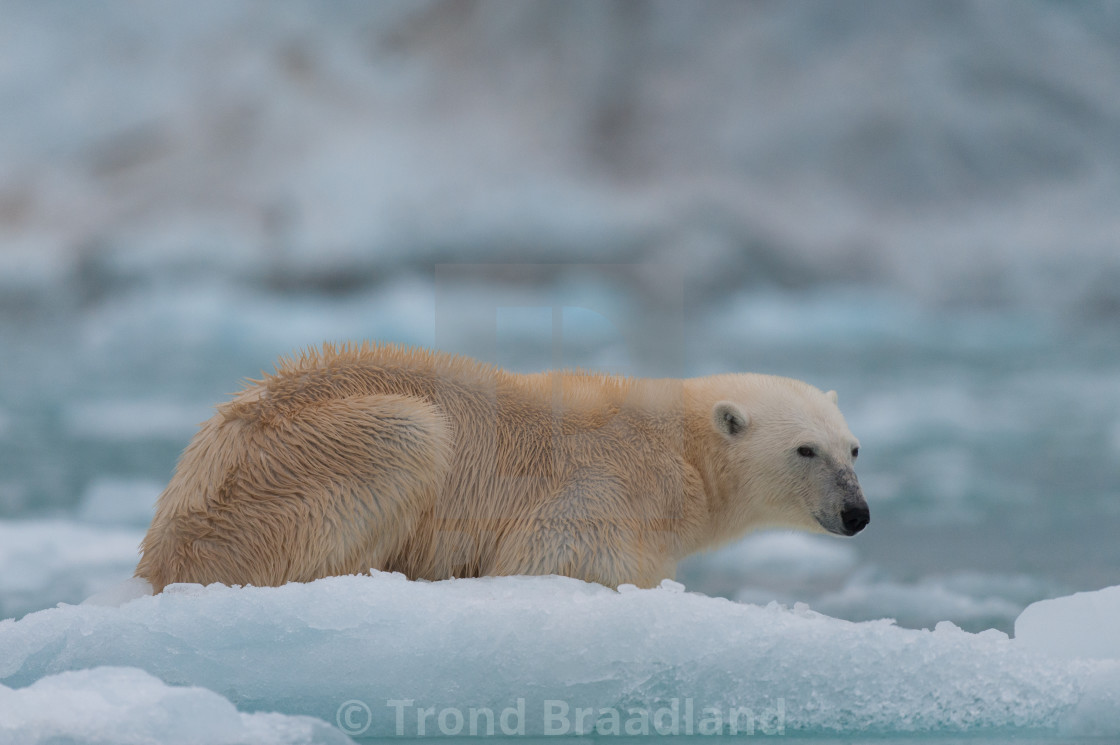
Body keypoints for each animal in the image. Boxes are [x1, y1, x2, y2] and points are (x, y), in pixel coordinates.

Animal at [135, 342, 869, 591]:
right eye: (806, 449)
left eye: (854, 447)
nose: (857, 513)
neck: (681, 446)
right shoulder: (605, 489)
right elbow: (560, 557)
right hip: (287, 470)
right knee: (409, 433)